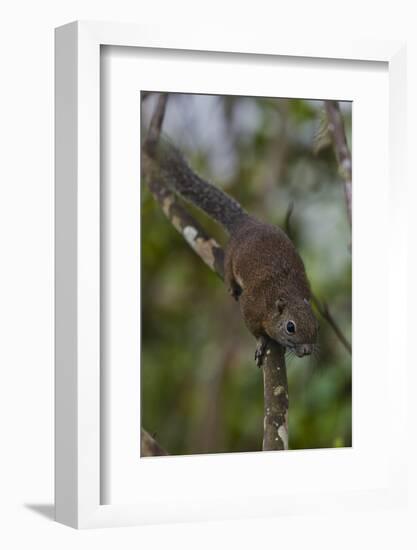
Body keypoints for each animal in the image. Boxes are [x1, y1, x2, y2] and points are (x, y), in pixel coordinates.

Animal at [151, 138, 316, 366]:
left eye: (316, 324)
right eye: (290, 327)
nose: (308, 350)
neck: (285, 292)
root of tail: (246, 223)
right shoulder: (252, 307)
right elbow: (255, 330)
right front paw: (262, 342)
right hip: (230, 258)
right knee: (229, 272)